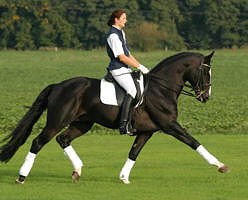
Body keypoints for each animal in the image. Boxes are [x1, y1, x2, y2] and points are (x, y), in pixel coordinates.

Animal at [0, 51, 230, 184]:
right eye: (206, 72)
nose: (206, 97)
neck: (161, 88)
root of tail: (58, 85)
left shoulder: (147, 131)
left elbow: (134, 152)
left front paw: (124, 178)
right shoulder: (169, 124)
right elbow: (193, 142)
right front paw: (220, 165)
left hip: (83, 123)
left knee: (62, 139)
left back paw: (77, 170)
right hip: (57, 121)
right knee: (38, 141)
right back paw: (22, 177)